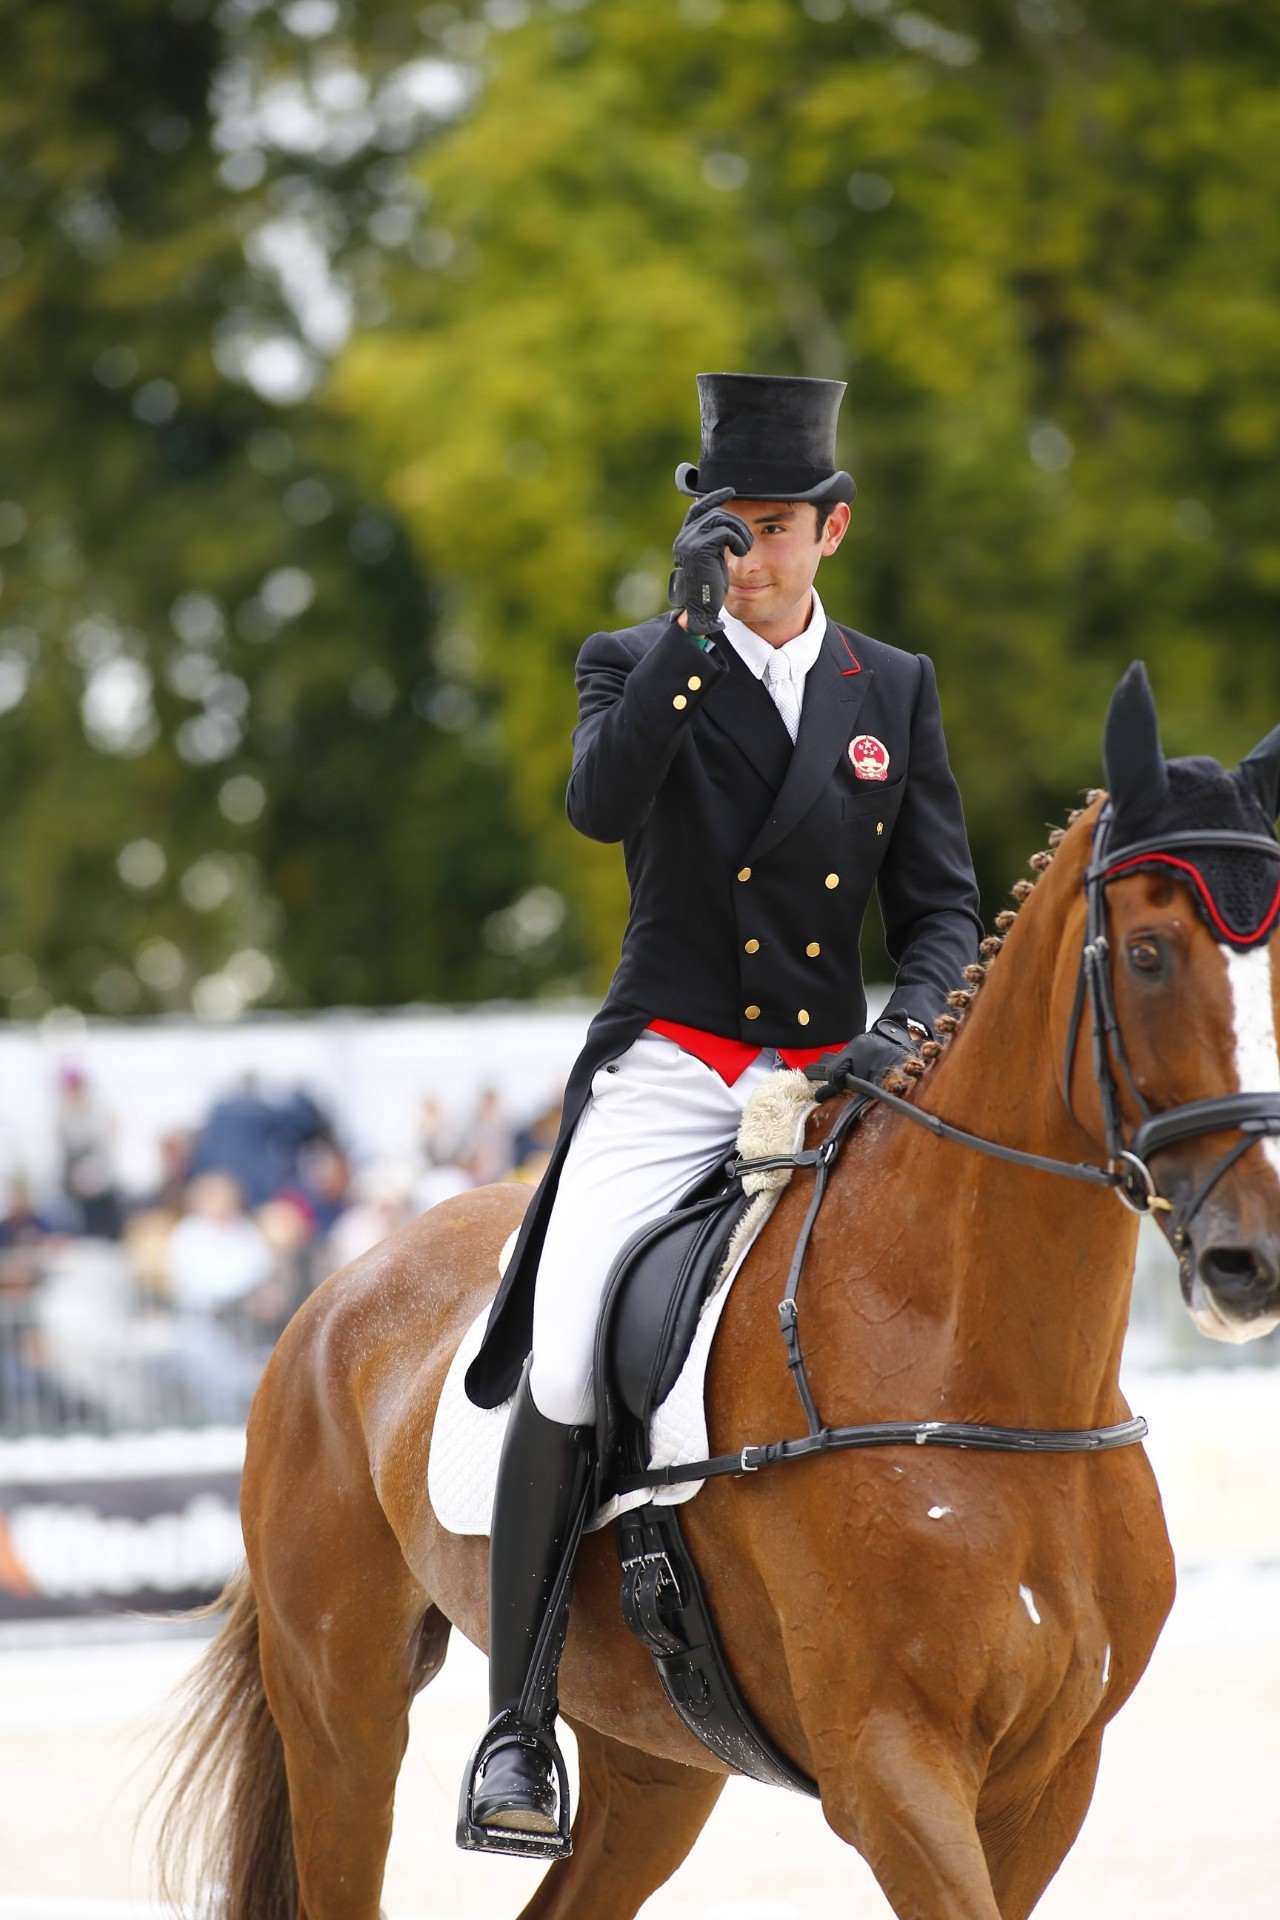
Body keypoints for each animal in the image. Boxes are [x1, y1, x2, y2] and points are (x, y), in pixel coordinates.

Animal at [160, 721, 1280, 1920]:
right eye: (1148, 955)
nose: (1250, 1260)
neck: (983, 1384)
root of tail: (334, 1296)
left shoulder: (1049, 1780)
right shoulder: (890, 1769)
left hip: (654, 1757)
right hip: (342, 1708)